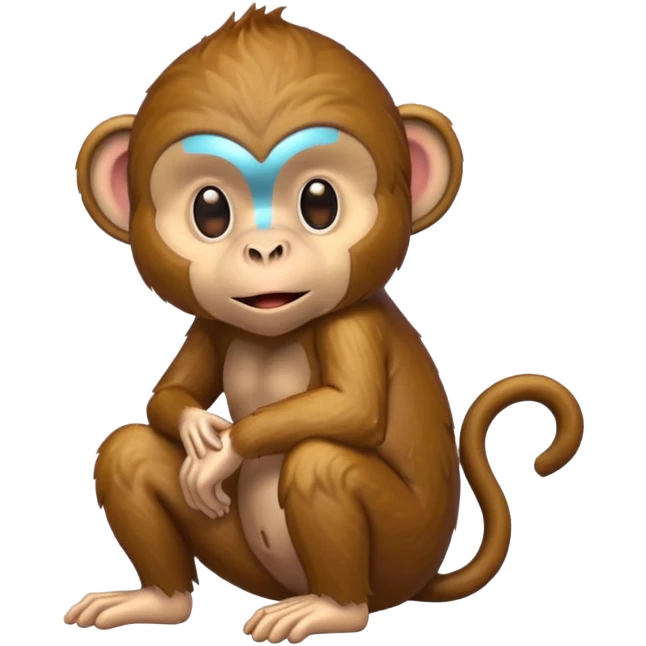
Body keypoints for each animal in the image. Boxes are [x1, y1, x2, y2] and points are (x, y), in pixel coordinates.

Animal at [64, 4, 585, 643]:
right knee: (127, 451)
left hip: (395, 553)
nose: (265, 250)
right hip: (253, 561)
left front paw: (223, 452)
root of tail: (421, 580)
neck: (279, 329)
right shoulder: (212, 327)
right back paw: (157, 601)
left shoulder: (352, 324)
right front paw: (198, 432)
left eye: (320, 202)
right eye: (210, 211)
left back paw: (332, 609)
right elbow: (168, 394)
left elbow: (352, 408)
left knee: (321, 463)